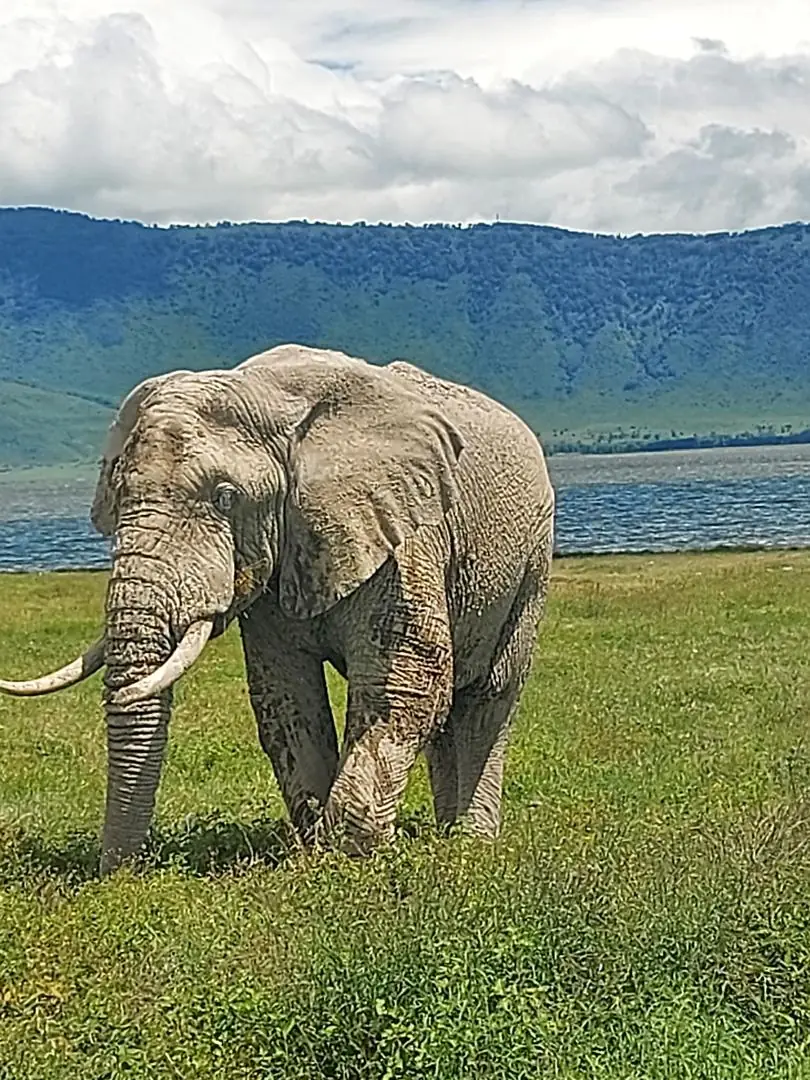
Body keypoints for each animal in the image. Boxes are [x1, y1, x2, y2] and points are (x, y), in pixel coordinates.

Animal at [0, 344, 555, 874]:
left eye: (225, 498)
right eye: (116, 496)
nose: (117, 875)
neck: (265, 392)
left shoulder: (405, 537)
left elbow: (406, 686)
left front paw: (349, 861)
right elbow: (286, 696)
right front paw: (319, 854)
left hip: (534, 555)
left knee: (489, 697)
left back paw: (470, 844)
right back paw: (446, 835)